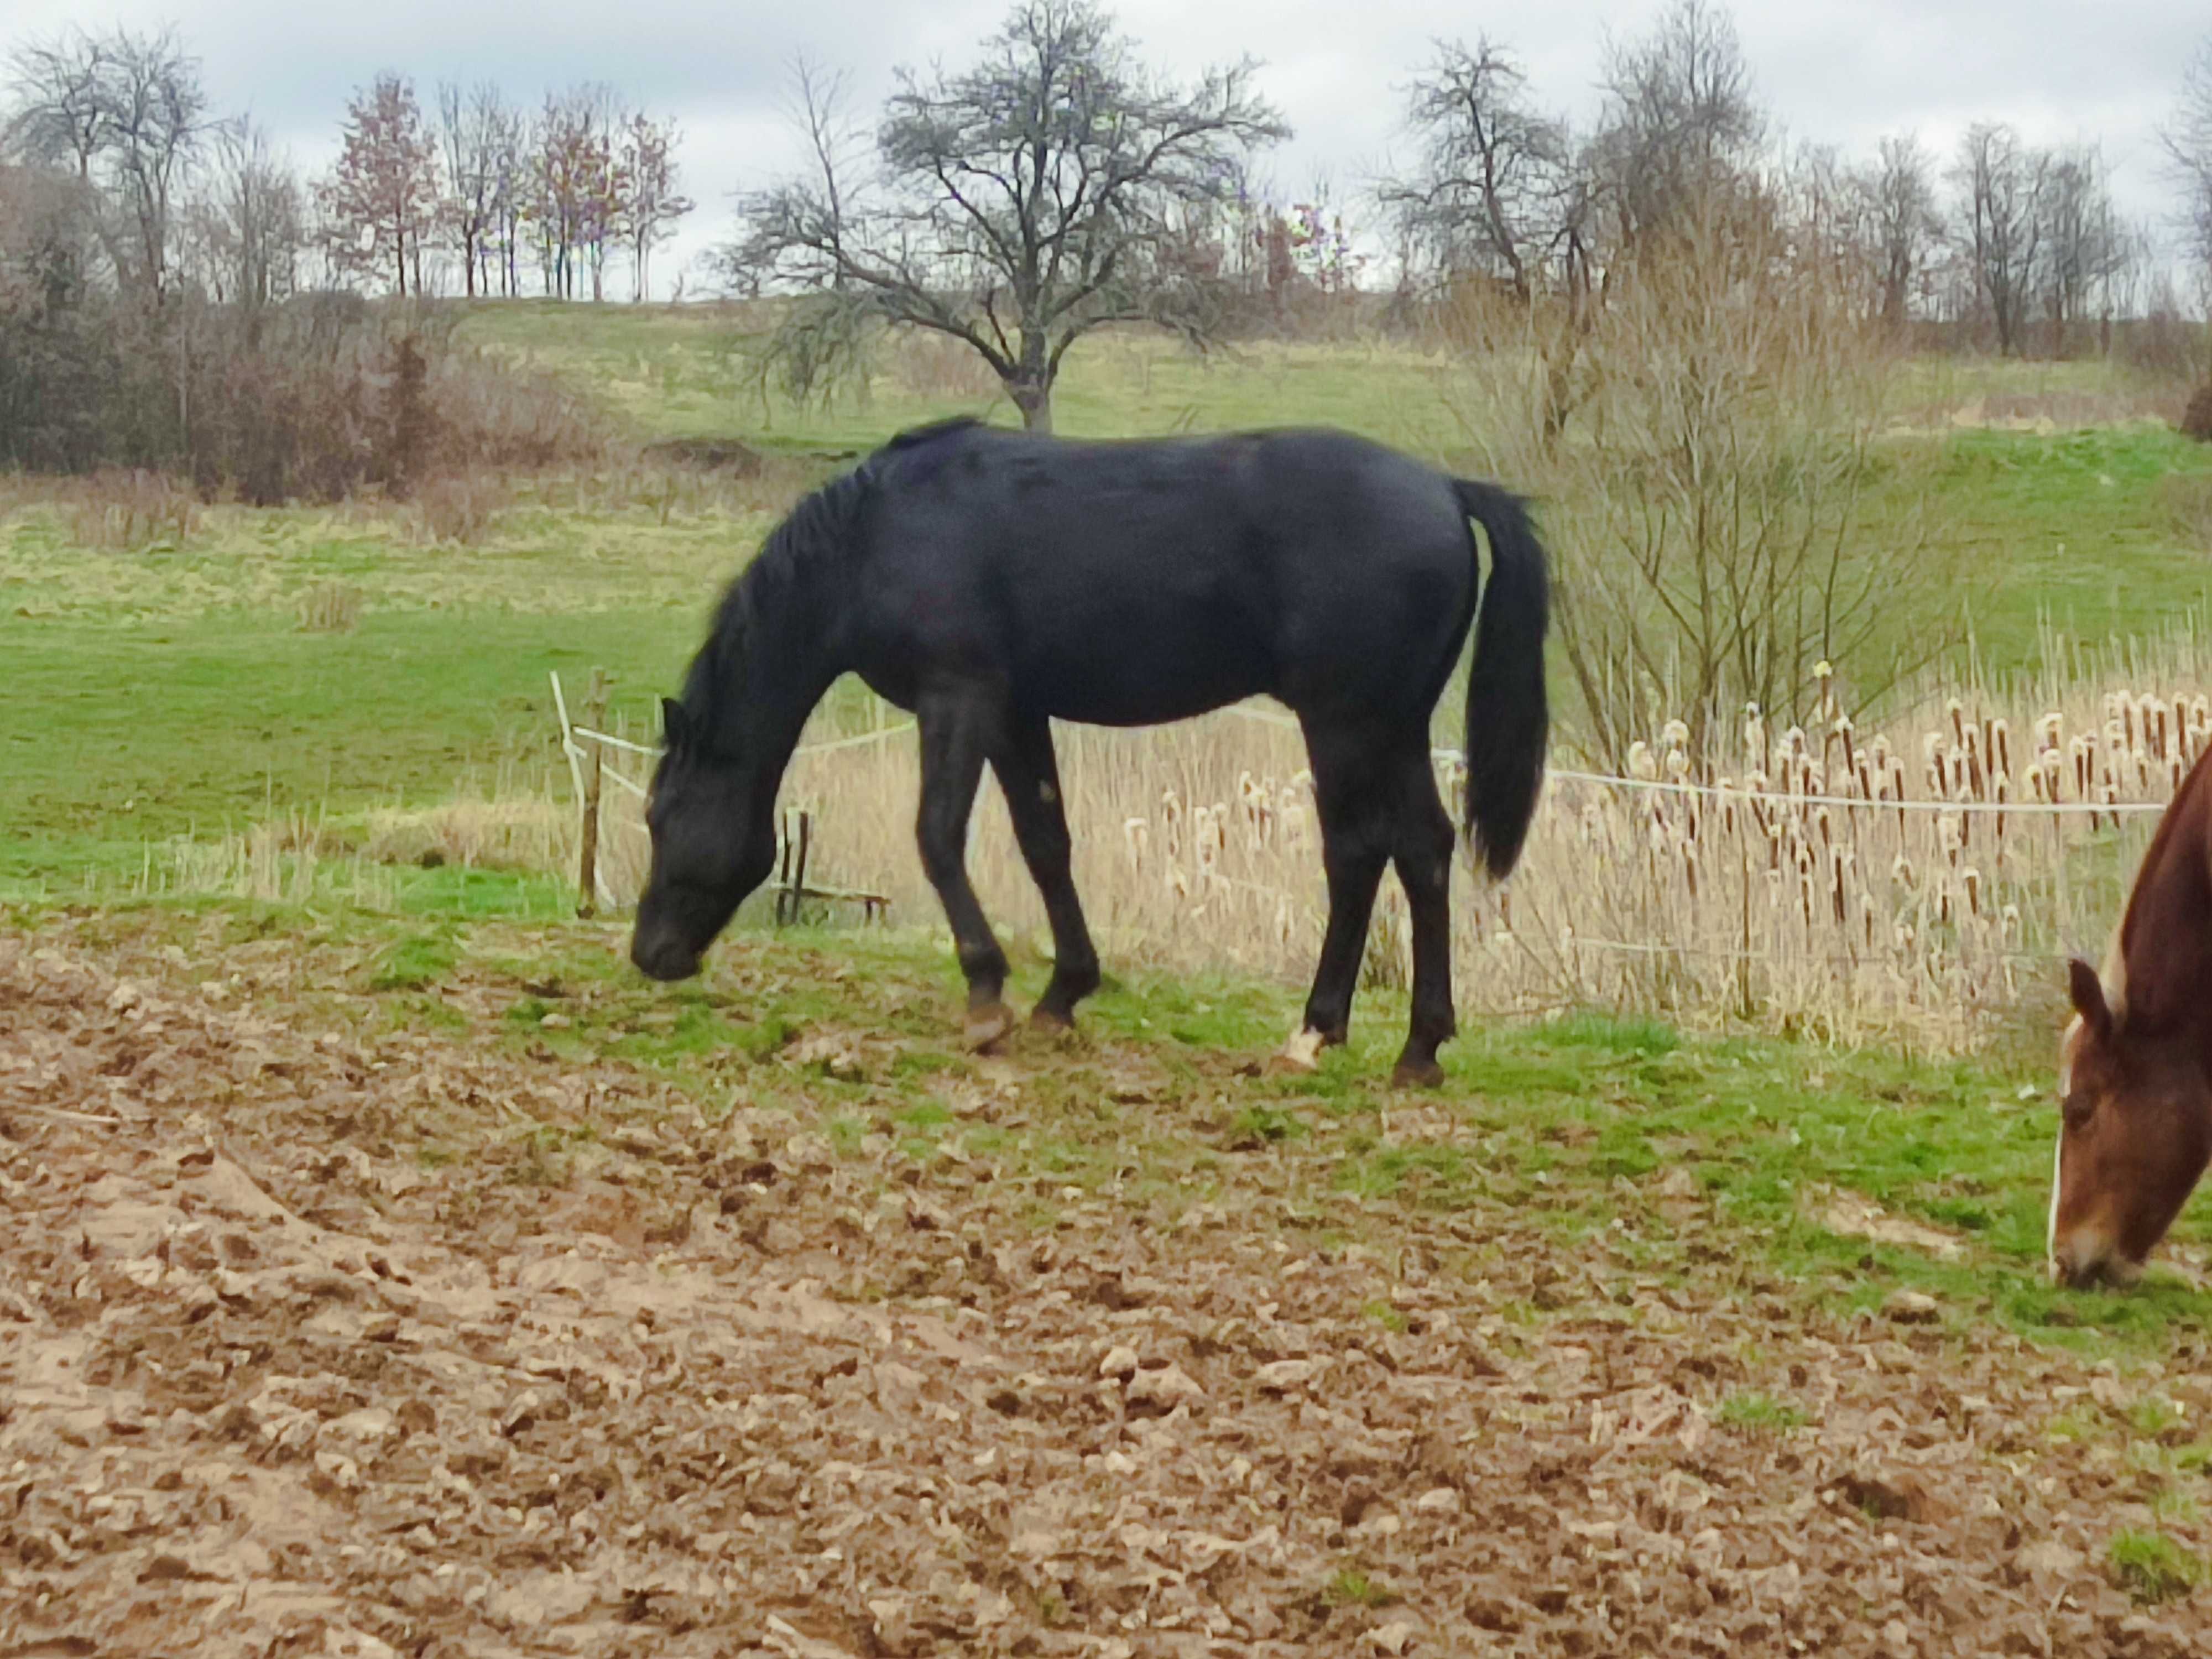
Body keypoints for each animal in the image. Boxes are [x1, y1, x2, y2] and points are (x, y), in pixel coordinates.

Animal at [633, 416, 1548, 1093]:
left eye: (661, 816)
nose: (649, 954)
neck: (878, 539)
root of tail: (1445, 488)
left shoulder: (956, 698)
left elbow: (938, 836)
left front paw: (987, 996)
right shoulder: (1015, 712)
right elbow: (1046, 843)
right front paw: (1063, 992)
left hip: (1346, 723)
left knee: (1358, 853)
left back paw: (1317, 1032)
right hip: (1394, 726)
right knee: (1424, 850)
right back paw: (1419, 1049)